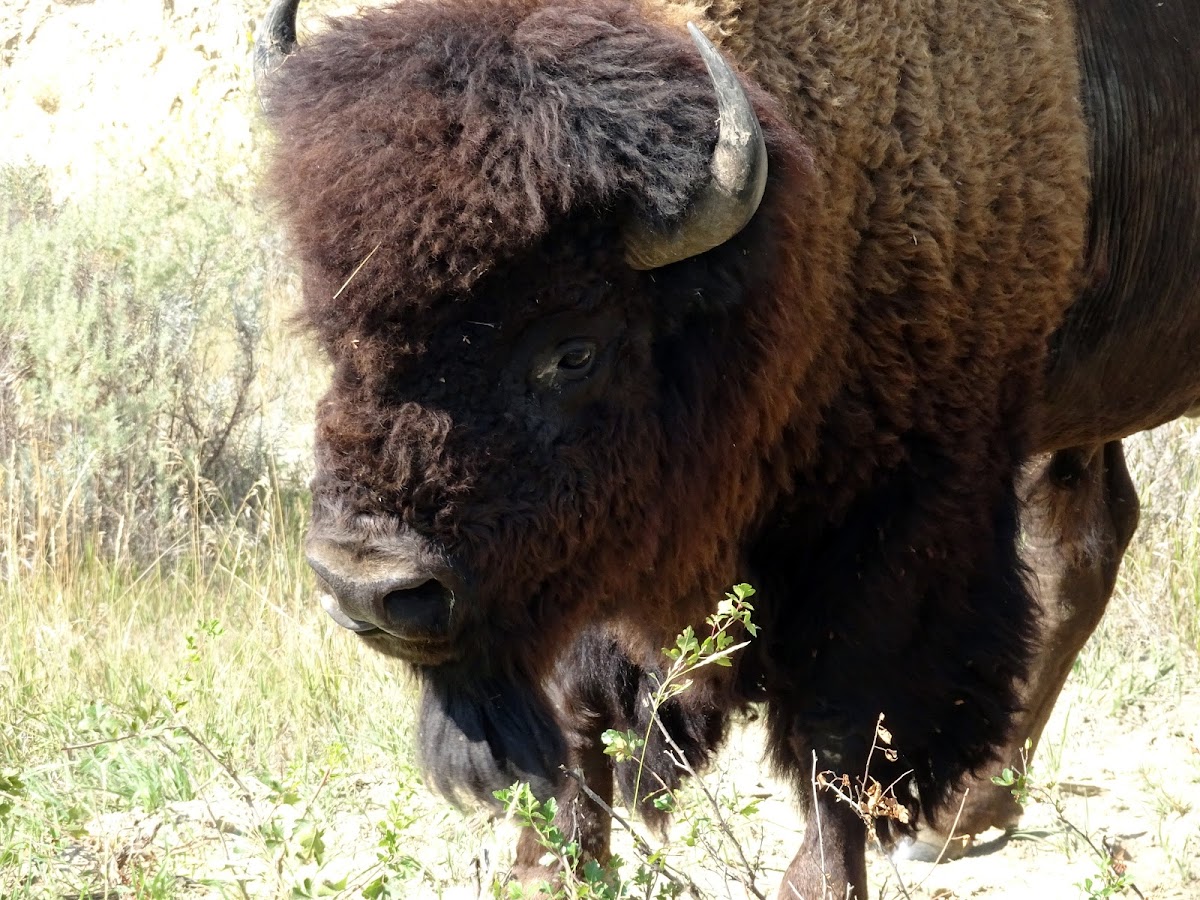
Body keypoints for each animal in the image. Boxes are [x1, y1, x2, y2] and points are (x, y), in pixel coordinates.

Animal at [255, 0, 1200, 897]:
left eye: (573, 349)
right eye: (337, 328)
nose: (368, 587)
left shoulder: (898, 518)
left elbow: (842, 730)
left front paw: (818, 887)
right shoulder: (585, 549)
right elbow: (575, 706)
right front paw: (551, 869)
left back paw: (953, 818)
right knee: (1087, 547)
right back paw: (968, 815)